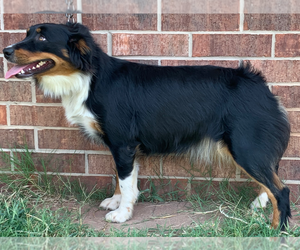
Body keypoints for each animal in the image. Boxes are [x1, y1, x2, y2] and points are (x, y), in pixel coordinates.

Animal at [2, 22, 290, 229]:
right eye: (27, 33)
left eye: (42, 38)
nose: (5, 51)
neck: (88, 77)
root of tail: (260, 84)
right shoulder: (123, 146)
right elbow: (121, 178)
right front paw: (116, 201)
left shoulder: (122, 143)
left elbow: (126, 181)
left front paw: (122, 214)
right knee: (270, 182)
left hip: (245, 147)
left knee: (281, 190)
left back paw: (276, 229)